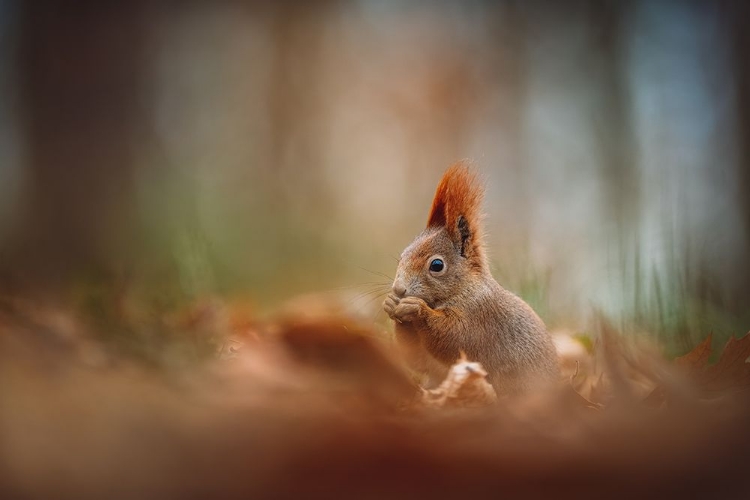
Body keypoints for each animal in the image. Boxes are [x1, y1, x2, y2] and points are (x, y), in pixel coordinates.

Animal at [384, 164, 560, 394]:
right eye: (402, 256)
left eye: (437, 265)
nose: (398, 289)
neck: (463, 288)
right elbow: (416, 357)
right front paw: (390, 304)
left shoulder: (480, 316)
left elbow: (456, 339)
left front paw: (417, 309)